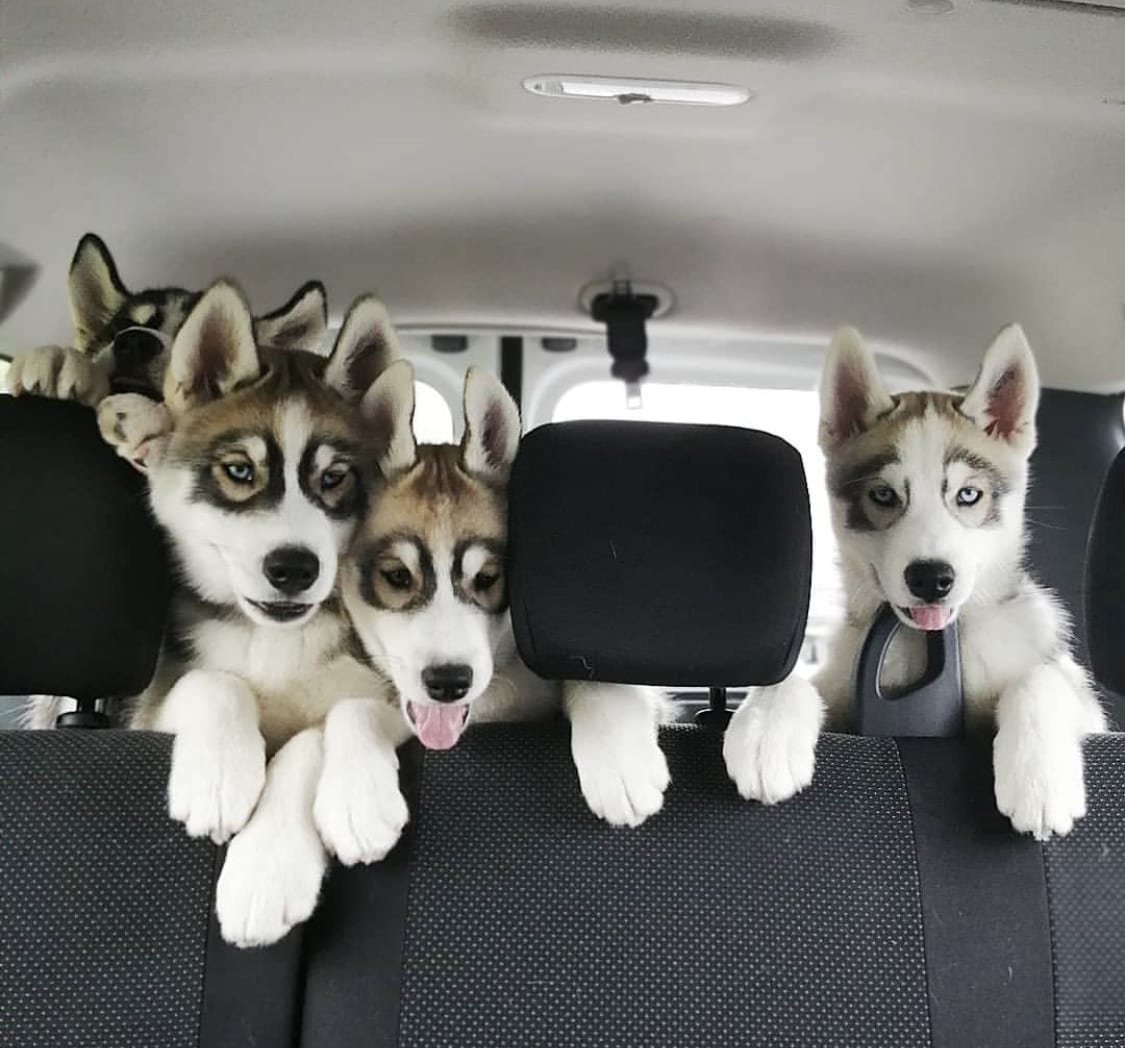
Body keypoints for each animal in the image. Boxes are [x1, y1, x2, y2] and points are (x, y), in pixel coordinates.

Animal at [720, 323, 1107, 841]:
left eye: (969, 495)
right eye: (883, 495)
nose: (931, 579)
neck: (917, 645)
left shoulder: (1091, 710)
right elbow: (792, 679)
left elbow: (1042, 680)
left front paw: (1040, 777)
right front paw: (766, 729)